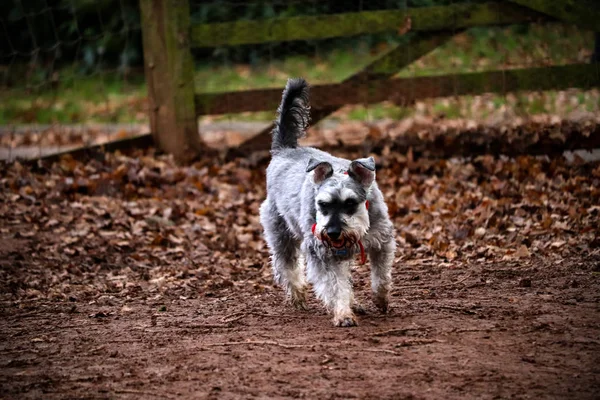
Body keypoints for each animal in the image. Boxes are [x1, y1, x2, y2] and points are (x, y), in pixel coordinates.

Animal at [256, 76, 394, 326]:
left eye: (350, 203)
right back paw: (298, 296)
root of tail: (284, 150)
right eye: (322, 204)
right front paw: (343, 314)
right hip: (280, 234)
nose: (332, 232)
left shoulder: (382, 242)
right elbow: (335, 287)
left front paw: (380, 300)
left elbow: (381, 276)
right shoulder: (322, 255)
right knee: (286, 266)